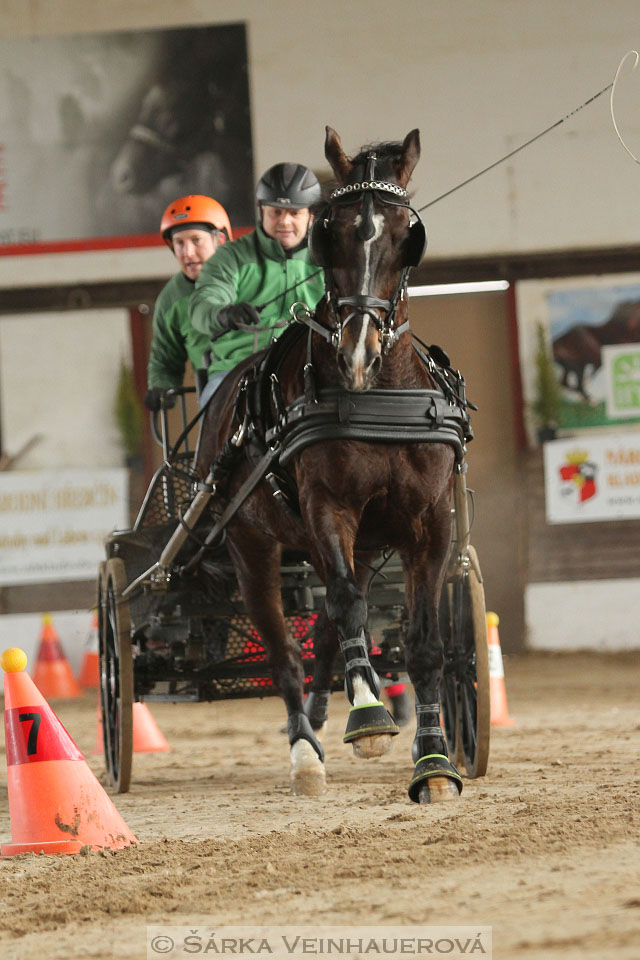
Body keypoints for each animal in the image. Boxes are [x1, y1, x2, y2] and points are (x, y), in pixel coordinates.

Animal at [192, 125, 468, 804]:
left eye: (407, 233)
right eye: (331, 231)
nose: (358, 352)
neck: (377, 398)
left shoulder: (430, 522)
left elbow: (424, 644)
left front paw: (434, 759)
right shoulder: (327, 509)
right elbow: (343, 607)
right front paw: (368, 718)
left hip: (361, 542)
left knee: (329, 632)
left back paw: (327, 712)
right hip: (253, 545)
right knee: (288, 648)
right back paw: (305, 749)